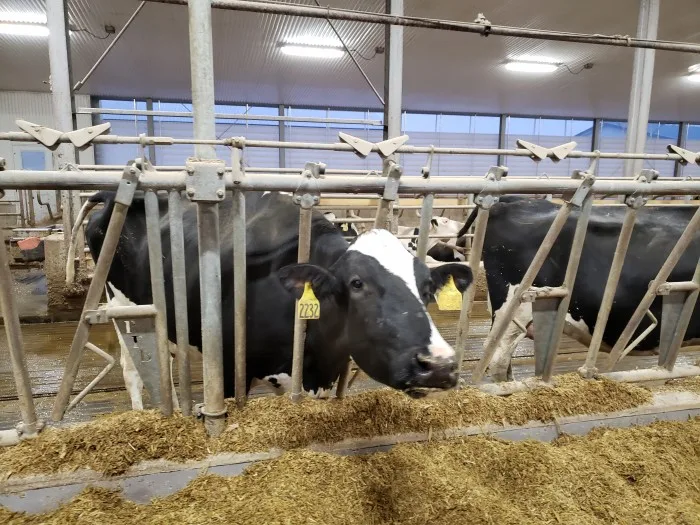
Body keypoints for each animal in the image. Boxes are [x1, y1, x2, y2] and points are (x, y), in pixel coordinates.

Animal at [85, 190, 474, 400]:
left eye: (426, 288)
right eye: (356, 283)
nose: (439, 365)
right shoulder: (230, 367)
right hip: (128, 315)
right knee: (136, 372)